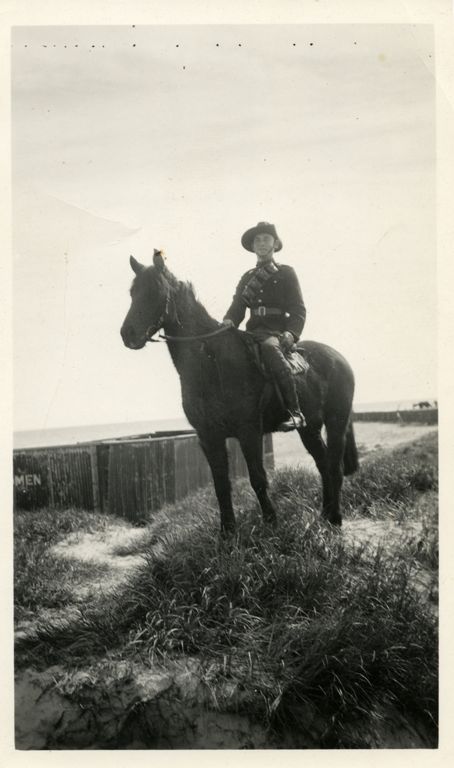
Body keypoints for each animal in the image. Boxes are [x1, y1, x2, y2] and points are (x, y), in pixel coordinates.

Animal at [120, 250, 358, 536]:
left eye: (156, 291)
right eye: (133, 292)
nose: (128, 334)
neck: (212, 361)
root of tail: (339, 358)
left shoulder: (249, 432)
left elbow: (258, 478)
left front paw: (271, 524)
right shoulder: (208, 436)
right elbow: (221, 485)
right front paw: (227, 533)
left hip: (336, 422)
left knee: (334, 466)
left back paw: (335, 518)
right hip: (309, 428)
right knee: (323, 464)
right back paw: (324, 516)